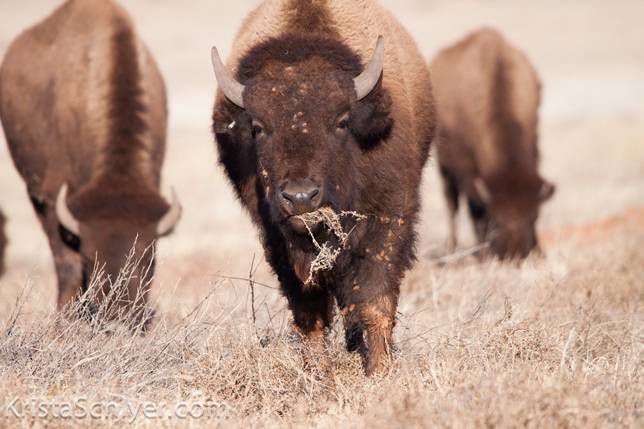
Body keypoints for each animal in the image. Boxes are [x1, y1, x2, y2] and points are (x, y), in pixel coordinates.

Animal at [214, 0, 436, 372]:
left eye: (342, 121)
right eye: (258, 127)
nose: (301, 197)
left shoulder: (389, 220)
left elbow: (375, 301)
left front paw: (379, 372)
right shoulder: (278, 241)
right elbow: (309, 314)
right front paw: (318, 374)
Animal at [430, 28, 556, 260]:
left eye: (534, 216)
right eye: (497, 219)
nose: (515, 254)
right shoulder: (467, 170)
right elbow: (476, 210)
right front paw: (483, 253)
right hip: (445, 168)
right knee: (451, 204)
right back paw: (451, 248)